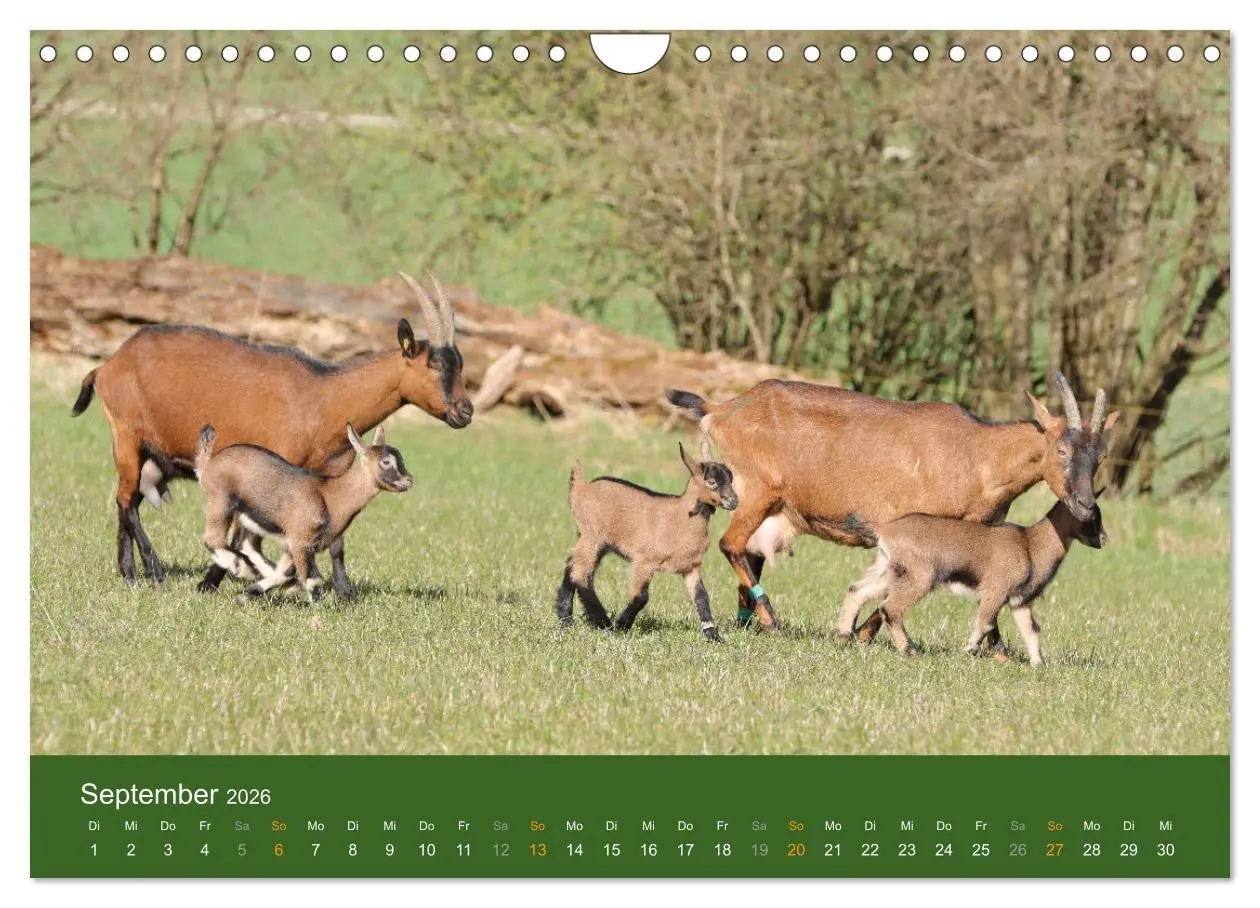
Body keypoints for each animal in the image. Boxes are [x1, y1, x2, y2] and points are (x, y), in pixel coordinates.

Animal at [195, 423, 412, 601]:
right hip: (221, 501)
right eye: (386, 462)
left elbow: (287, 572)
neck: (330, 495)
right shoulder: (300, 539)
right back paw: (242, 567)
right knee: (213, 538)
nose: (408, 480)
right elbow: (312, 579)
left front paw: (249, 593)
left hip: (250, 519)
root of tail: (209, 463)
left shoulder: (300, 543)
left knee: (249, 545)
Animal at [555, 440, 738, 642]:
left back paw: (565, 619)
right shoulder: (643, 561)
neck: (681, 517)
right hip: (593, 535)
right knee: (580, 573)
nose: (734, 501)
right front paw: (622, 626)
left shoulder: (691, 566)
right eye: (712, 482)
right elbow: (641, 596)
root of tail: (581, 489)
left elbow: (702, 597)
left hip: (596, 541)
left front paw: (713, 635)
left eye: (731, 479)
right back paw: (603, 623)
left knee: (572, 565)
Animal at [666, 374, 1117, 636]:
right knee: (730, 545)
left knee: (750, 552)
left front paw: (860, 636)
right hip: (756, 492)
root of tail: (721, 410)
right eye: (1061, 449)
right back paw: (771, 620)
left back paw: (750, 624)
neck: (976, 452)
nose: (1084, 504)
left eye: (1101, 455)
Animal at [839, 499, 1107, 665]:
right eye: (1091, 516)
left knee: (857, 590)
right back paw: (911, 650)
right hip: (919, 577)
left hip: (889, 570)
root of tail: (885, 530)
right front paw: (967, 652)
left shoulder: (1020, 602)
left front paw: (1038, 664)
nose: (1104, 538)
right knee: (890, 608)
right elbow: (985, 623)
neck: (1030, 543)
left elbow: (1030, 630)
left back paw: (842, 636)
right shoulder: (994, 592)